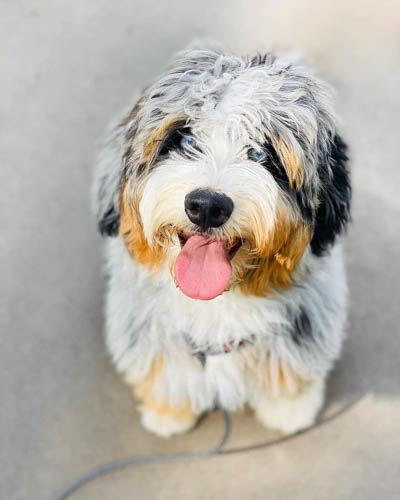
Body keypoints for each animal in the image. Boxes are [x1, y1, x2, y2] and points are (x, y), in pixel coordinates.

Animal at [93, 47, 350, 438]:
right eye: (184, 139)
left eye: (262, 153)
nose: (207, 206)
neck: (217, 302)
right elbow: (168, 374)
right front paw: (169, 412)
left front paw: (290, 410)